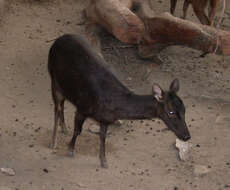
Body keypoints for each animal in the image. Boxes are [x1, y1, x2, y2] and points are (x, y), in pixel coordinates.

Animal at [47, 33, 190, 168]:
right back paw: (53, 142)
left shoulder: (105, 119)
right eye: (171, 112)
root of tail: (57, 41)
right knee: (56, 108)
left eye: (184, 110)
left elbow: (102, 137)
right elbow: (78, 130)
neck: (113, 105)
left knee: (62, 105)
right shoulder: (82, 107)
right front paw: (70, 150)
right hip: (54, 78)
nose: (187, 136)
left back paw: (64, 128)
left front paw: (104, 161)